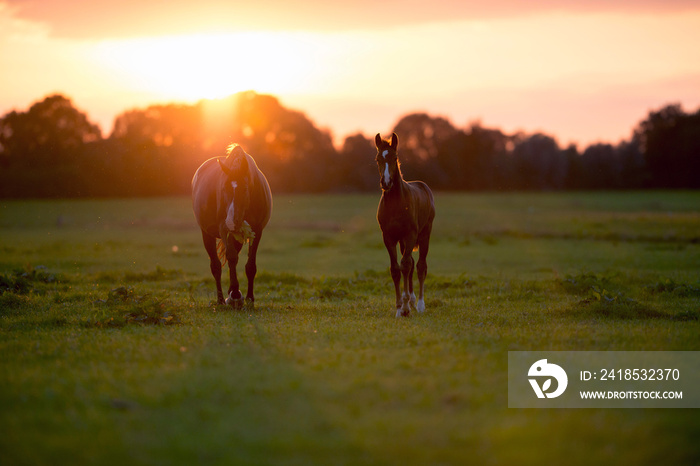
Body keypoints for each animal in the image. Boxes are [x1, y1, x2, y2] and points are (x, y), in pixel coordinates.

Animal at [193, 144, 272, 308]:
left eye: (245, 189)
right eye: (224, 189)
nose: (231, 222)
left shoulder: (256, 230)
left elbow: (250, 266)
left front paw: (249, 298)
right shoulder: (223, 228)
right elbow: (230, 256)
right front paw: (235, 294)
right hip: (207, 234)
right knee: (216, 266)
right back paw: (221, 300)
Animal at [374, 133, 434, 318]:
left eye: (395, 157)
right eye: (378, 158)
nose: (386, 182)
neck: (395, 204)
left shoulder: (410, 235)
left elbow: (405, 266)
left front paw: (406, 307)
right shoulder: (389, 237)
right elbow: (395, 269)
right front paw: (400, 308)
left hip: (424, 234)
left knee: (420, 266)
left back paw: (420, 304)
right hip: (402, 241)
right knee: (412, 263)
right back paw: (413, 300)